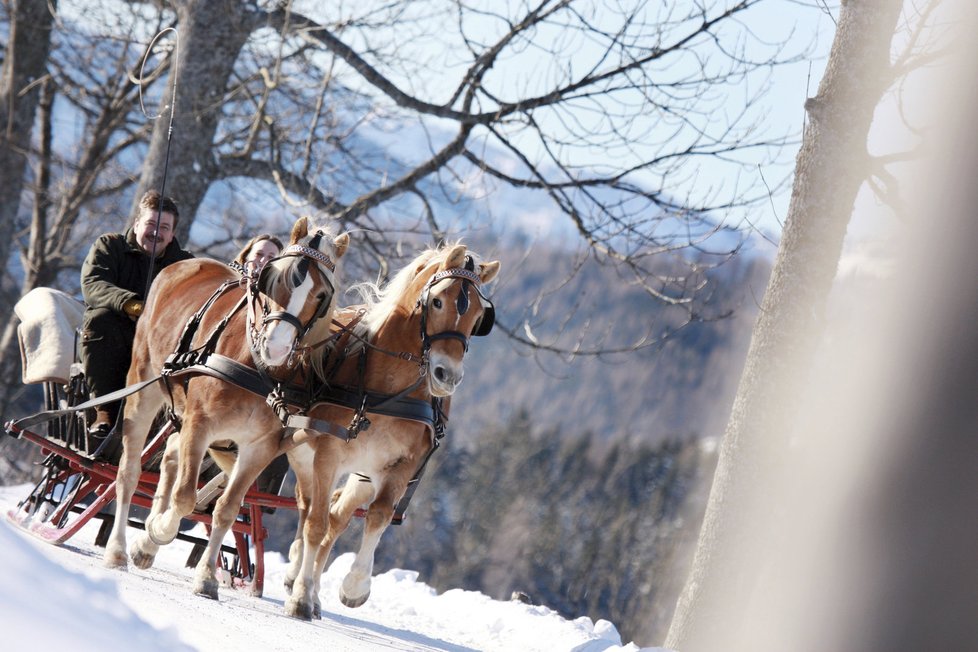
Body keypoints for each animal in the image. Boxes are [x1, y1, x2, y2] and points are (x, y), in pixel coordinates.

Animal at [99, 218, 348, 600]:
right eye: (273, 278)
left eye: (322, 296)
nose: (276, 347)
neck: (258, 369)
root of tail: (183, 265)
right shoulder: (200, 425)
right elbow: (185, 498)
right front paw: (156, 532)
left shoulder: (260, 447)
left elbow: (227, 509)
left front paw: (205, 577)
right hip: (144, 384)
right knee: (129, 471)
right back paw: (118, 549)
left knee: (169, 455)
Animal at [280, 242, 496, 620]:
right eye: (437, 301)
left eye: (480, 315)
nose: (447, 376)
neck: (387, 385)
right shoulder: (327, 453)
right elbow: (315, 523)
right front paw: (301, 596)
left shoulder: (401, 465)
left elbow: (377, 516)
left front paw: (354, 587)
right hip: (304, 451)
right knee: (308, 508)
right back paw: (297, 575)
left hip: (364, 472)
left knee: (337, 516)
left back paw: (315, 589)